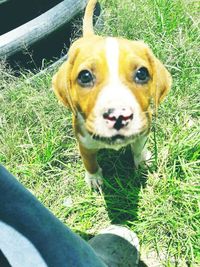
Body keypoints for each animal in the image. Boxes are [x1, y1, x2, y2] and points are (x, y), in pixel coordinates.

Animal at [52, 0, 172, 189]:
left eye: (142, 73)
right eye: (85, 76)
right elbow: (89, 162)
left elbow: (138, 148)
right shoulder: (84, 143)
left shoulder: (143, 131)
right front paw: (94, 178)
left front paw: (142, 161)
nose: (118, 116)